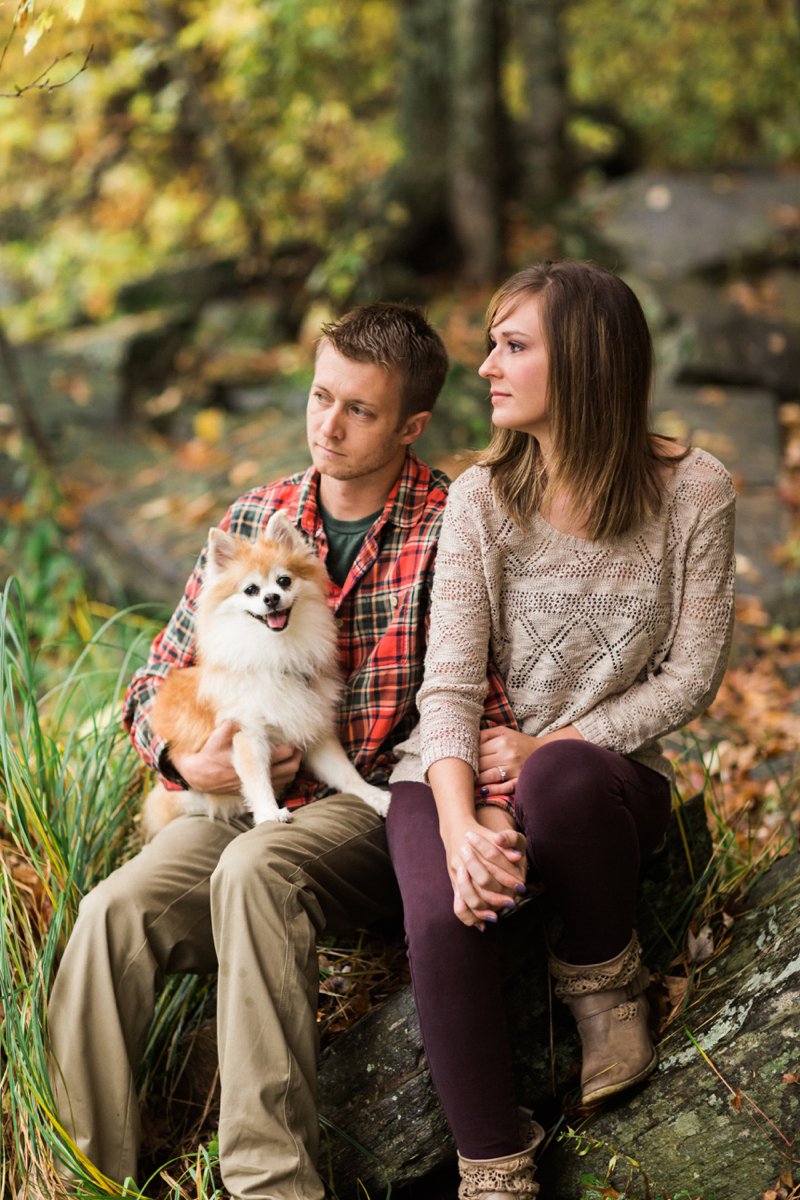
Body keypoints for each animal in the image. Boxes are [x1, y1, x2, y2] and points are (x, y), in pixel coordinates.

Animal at [140, 511, 391, 840]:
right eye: (251, 590)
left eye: (284, 581)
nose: (271, 598)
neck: (277, 650)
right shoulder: (248, 734)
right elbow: (257, 778)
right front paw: (270, 813)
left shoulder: (314, 732)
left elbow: (345, 772)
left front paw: (373, 794)